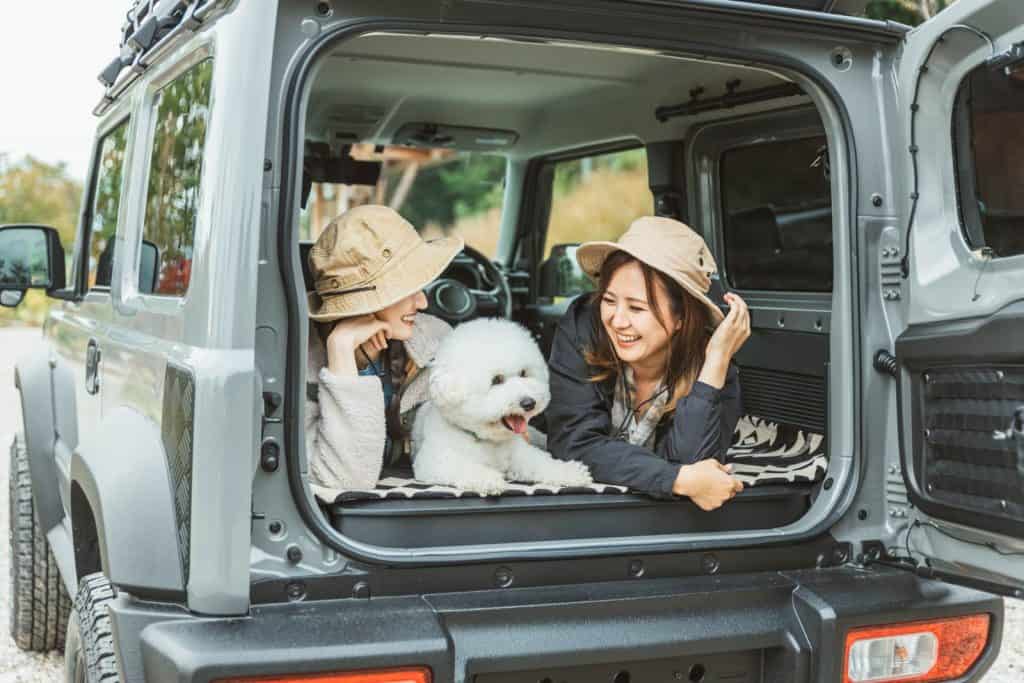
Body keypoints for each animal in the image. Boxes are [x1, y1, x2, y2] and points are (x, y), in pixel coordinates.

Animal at [411, 317, 593, 493]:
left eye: (523, 373)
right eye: (496, 380)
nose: (529, 403)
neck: (486, 440)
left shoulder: (520, 453)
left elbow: (541, 462)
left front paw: (571, 472)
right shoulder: (434, 460)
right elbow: (461, 467)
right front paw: (487, 479)